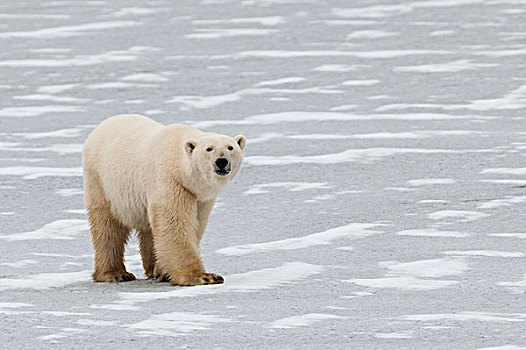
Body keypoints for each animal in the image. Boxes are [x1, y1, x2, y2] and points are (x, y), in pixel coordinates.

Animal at [83, 115, 248, 284]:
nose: (221, 161)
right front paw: (204, 276)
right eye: (209, 148)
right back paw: (115, 273)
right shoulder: (171, 180)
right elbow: (174, 224)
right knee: (107, 227)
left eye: (230, 147)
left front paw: (164, 273)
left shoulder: (199, 197)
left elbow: (195, 225)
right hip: (101, 182)